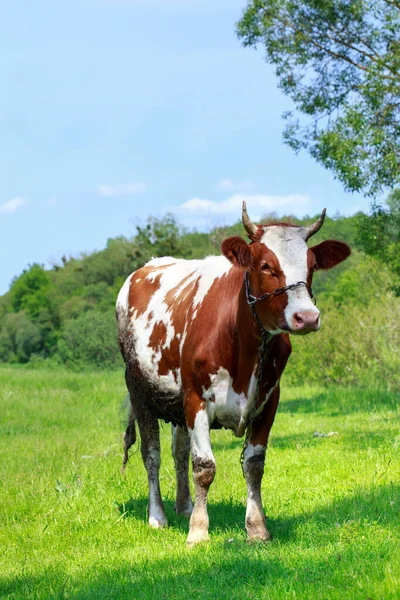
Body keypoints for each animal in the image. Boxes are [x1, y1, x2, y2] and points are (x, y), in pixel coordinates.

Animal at [116, 204, 350, 548]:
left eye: (311, 266)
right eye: (266, 265)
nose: (307, 317)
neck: (244, 345)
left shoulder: (269, 400)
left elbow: (253, 465)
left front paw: (257, 528)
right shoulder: (196, 399)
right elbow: (204, 466)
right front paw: (199, 531)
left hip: (176, 405)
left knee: (178, 452)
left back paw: (184, 506)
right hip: (140, 392)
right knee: (152, 455)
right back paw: (157, 515)